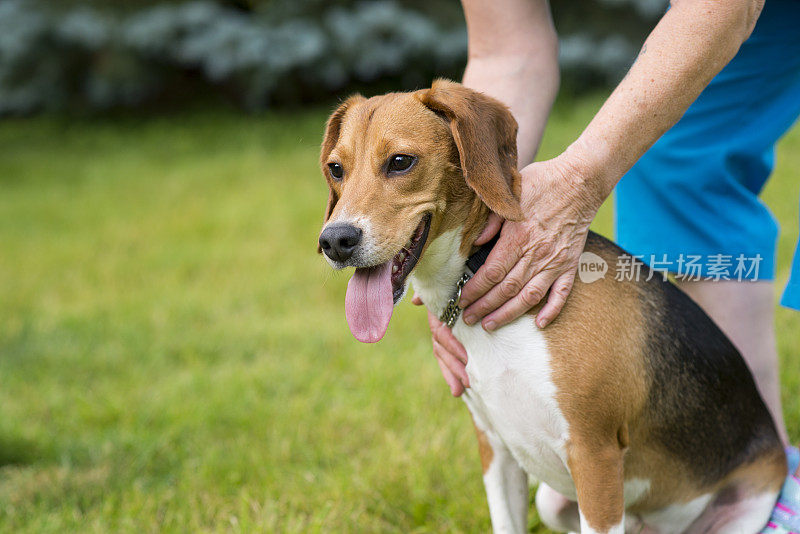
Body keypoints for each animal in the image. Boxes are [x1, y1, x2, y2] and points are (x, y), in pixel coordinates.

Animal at [318, 80, 780, 534]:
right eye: (336, 169)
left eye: (400, 162)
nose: (335, 241)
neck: (475, 270)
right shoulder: (495, 449)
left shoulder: (594, 456)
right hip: (552, 502)